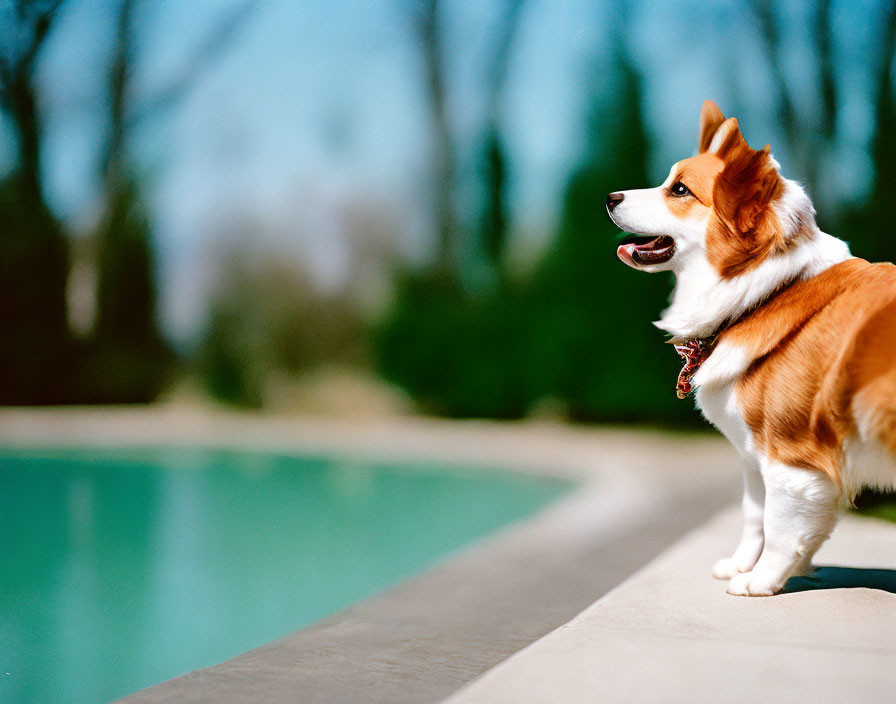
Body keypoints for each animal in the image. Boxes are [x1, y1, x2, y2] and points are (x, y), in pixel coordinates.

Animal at [604, 99, 896, 592]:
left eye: (678, 190)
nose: (610, 198)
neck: (762, 293)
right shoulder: (756, 458)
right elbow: (755, 517)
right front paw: (749, 566)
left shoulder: (792, 460)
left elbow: (779, 528)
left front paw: (760, 582)